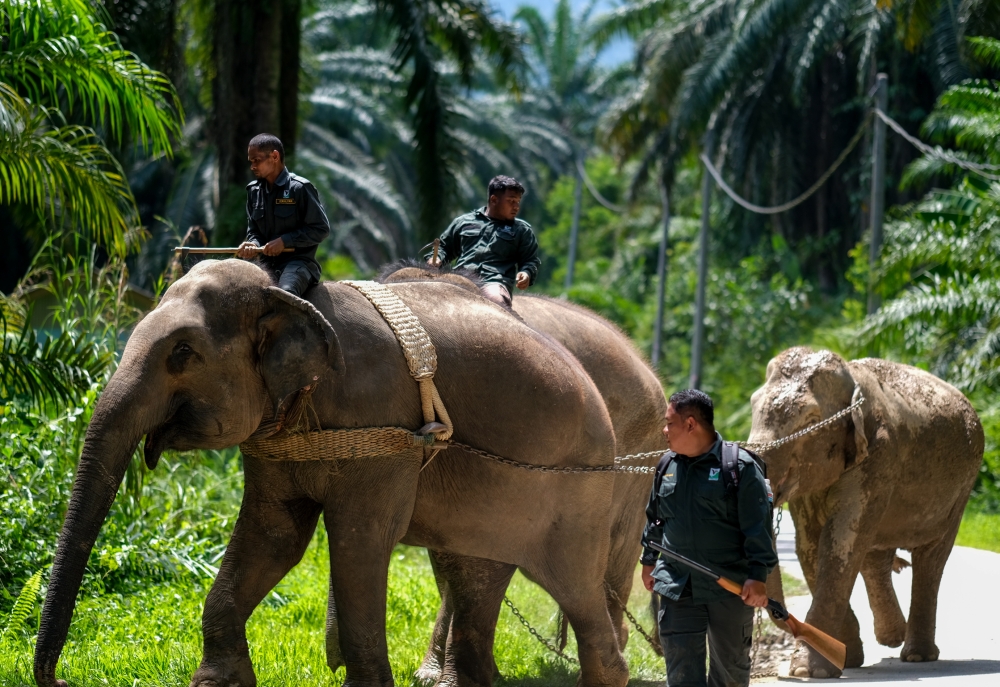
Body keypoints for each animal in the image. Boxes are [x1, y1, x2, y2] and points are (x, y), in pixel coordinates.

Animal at [33, 258, 640, 687]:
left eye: (182, 353)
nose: (61, 681)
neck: (286, 294)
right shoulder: (278, 440)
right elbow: (274, 536)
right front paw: (217, 683)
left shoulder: (382, 426)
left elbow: (359, 540)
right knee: (476, 576)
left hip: (576, 491)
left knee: (578, 588)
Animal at [748, 347, 983, 678]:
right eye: (753, 405)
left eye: (811, 419)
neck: (852, 379)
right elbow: (809, 546)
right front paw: (842, 660)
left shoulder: (880, 455)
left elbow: (839, 542)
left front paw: (809, 672)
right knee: (874, 554)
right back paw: (892, 636)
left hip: (962, 489)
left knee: (931, 558)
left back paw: (916, 655)